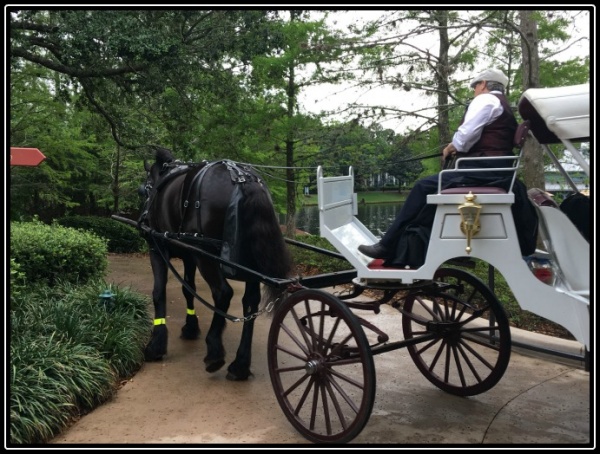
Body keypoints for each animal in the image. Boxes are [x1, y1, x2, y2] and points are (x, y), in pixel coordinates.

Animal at [139, 146, 292, 380]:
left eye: (146, 185)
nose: (142, 213)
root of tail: (243, 178)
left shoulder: (157, 247)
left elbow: (158, 293)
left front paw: (156, 345)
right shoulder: (189, 255)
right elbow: (188, 289)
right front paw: (190, 327)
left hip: (206, 256)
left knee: (223, 293)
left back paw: (214, 352)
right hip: (246, 262)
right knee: (250, 302)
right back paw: (240, 364)